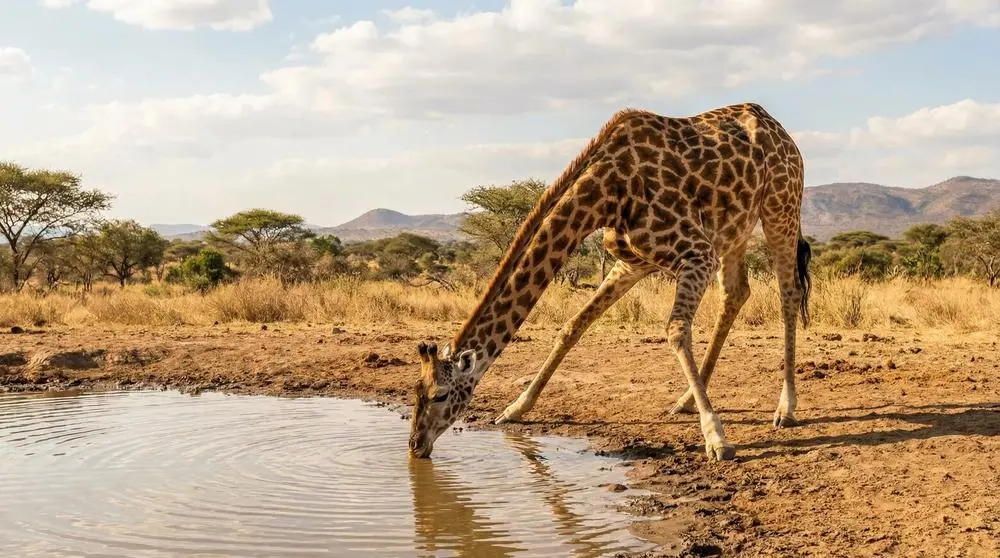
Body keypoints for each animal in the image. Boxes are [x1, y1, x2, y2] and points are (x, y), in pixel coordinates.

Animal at [409, 102, 812, 462]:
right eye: (416, 391)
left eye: (440, 395)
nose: (415, 445)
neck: (604, 193)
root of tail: (779, 130)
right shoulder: (633, 262)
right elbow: (574, 325)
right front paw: (516, 408)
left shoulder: (696, 253)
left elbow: (675, 329)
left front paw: (716, 438)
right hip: (733, 229)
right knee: (736, 292)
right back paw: (684, 402)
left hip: (780, 206)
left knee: (788, 292)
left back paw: (786, 409)